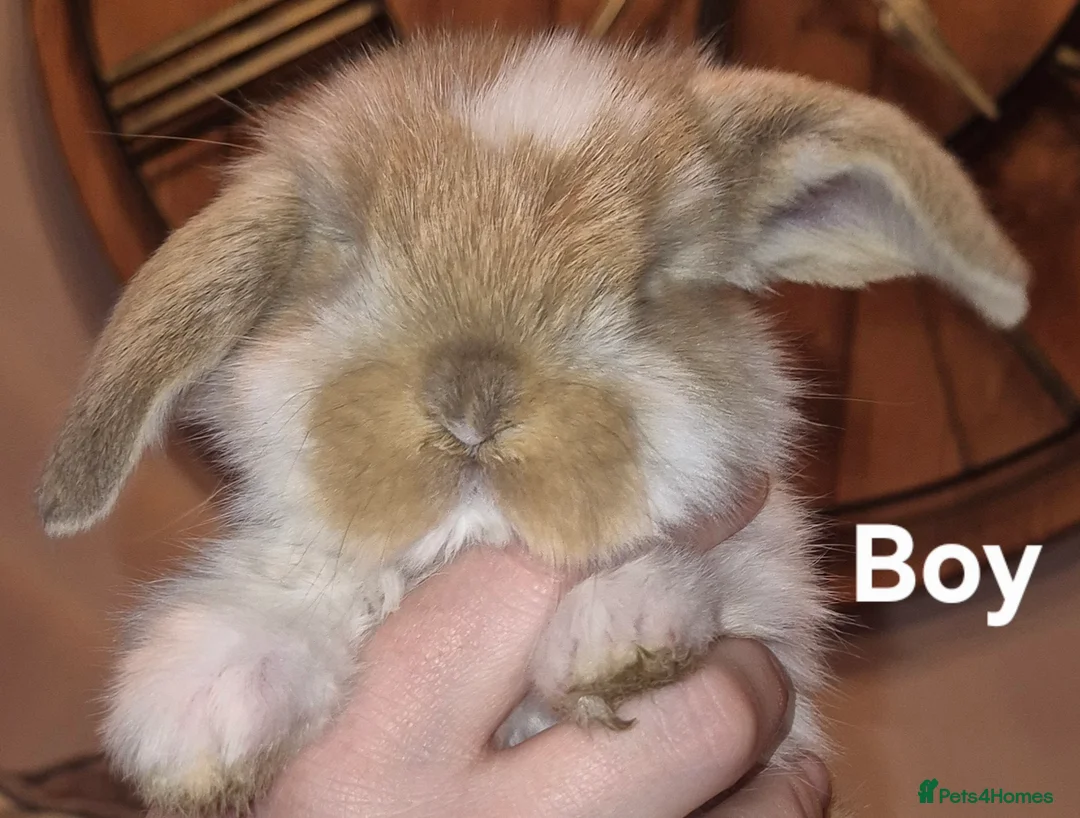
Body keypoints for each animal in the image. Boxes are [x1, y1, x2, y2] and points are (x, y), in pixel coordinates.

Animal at [36, 31, 1029, 816]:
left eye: (653, 283)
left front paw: (622, 634)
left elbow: (714, 574)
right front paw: (195, 708)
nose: (474, 402)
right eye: (344, 255)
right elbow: (302, 585)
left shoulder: (771, 610)